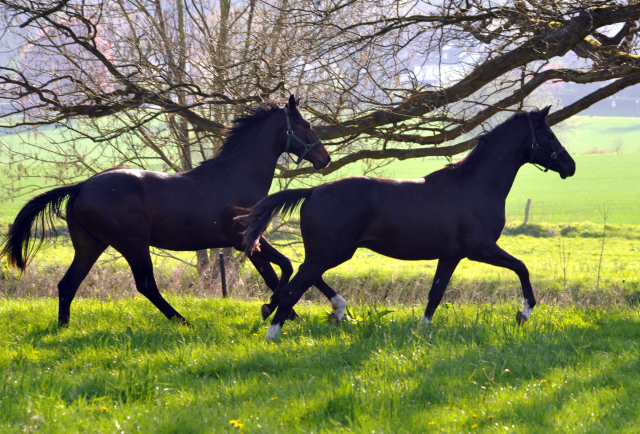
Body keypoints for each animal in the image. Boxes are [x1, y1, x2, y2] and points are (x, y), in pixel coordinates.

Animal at [1, 95, 350, 326]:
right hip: (132, 243)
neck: (238, 175)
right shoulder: (245, 241)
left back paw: (63, 328)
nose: (325, 159)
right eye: (305, 125)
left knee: (68, 285)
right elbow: (279, 271)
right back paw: (182, 320)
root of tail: (81, 187)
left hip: (90, 245)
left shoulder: (251, 241)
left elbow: (288, 268)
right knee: (146, 286)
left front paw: (289, 312)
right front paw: (275, 309)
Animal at [242, 107, 576, 338]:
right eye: (548, 135)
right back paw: (274, 333)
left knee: (305, 280)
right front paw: (524, 313)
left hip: (328, 254)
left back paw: (329, 313)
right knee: (293, 289)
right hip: (329, 253)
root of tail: (312, 191)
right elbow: (522, 267)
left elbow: (436, 294)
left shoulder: (451, 256)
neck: (474, 185)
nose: (570, 165)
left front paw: (422, 328)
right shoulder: (480, 249)